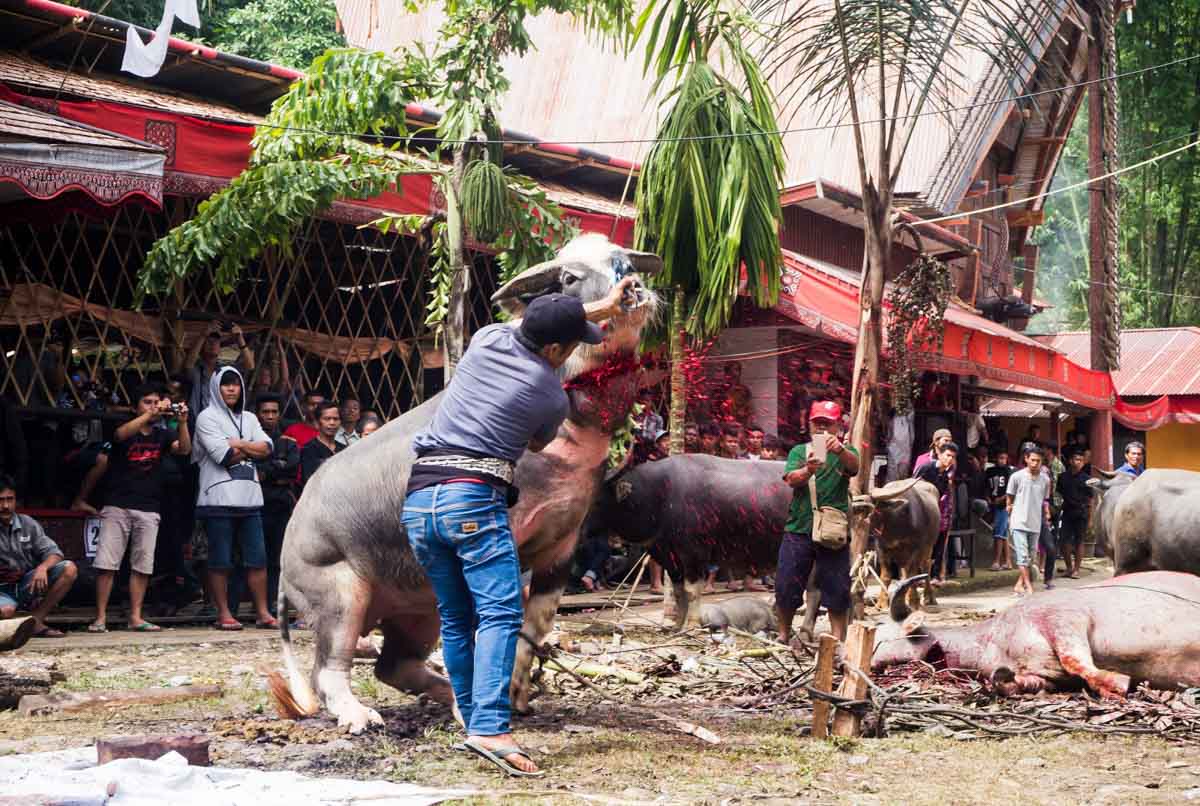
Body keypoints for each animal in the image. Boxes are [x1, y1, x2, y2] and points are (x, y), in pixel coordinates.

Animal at [270, 232, 667, 729]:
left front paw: (518, 700)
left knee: (393, 665)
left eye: (624, 262)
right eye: (570, 278)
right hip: (335, 592)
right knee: (327, 667)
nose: (632, 289)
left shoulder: (562, 544)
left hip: (415, 607)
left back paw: (441, 692)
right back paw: (362, 717)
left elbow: (533, 626)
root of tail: (286, 551)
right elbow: (487, 625)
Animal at [849, 474, 940, 606]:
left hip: (929, 546)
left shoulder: (916, 548)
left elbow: (912, 573)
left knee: (925, 565)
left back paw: (928, 598)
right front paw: (882, 603)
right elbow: (886, 576)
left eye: (868, 508)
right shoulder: (882, 549)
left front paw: (913, 601)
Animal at [873, 570, 1200, 695]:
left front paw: (1116, 682)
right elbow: (1012, 682)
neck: (992, 640)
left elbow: (1076, 660)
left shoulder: (1065, 619)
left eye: (878, 632)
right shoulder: (1045, 677)